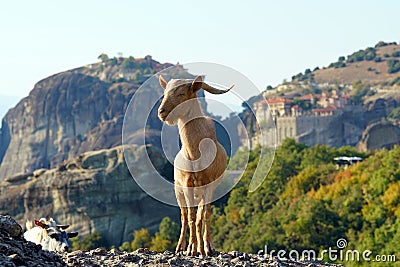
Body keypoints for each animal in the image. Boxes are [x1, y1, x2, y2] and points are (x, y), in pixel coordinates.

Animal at [156, 75, 231, 258]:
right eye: (165, 92)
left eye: (182, 93)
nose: (162, 112)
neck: (195, 153)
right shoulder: (186, 185)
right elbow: (190, 216)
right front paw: (191, 249)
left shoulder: (209, 186)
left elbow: (204, 216)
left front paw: (207, 248)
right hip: (178, 190)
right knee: (184, 216)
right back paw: (180, 247)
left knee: (200, 216)